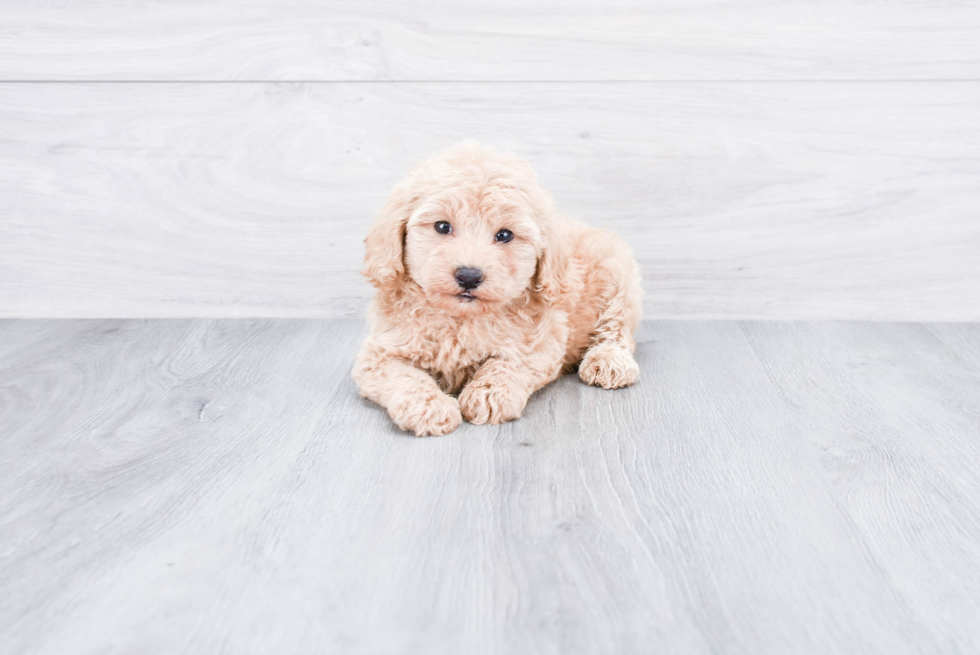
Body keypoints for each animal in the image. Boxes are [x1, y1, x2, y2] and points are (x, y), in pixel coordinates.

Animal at [352, 142, 644, 438]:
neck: (461, 318)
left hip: (617, 278)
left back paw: (609, 361)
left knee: (616, 329)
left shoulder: (541, 342)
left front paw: (488, 393)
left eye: (504, 235)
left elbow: (509, 363)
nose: (469, 276)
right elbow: (404, 376)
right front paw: (429, 407)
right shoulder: (380, 352)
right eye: (442, 226)